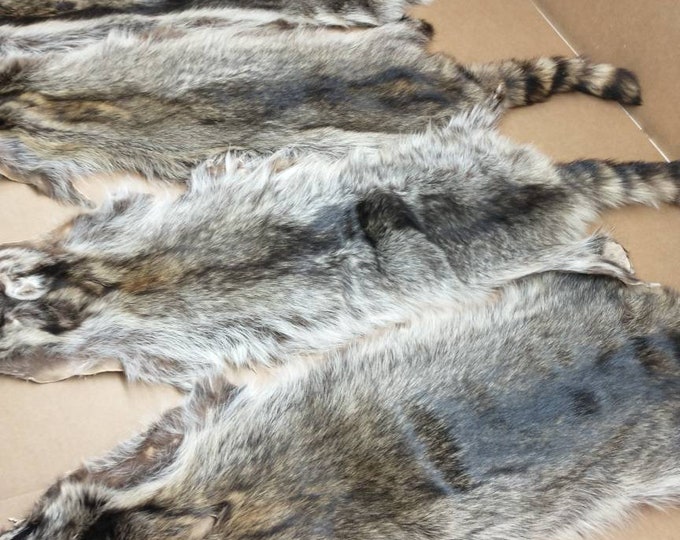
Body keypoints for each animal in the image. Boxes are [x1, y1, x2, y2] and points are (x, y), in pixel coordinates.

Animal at [0, 104, 677, 389]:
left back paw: (603, 256)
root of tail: (547, 185)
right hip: (452, 155)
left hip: (506, 253)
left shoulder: (116, 316)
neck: (90, 283)